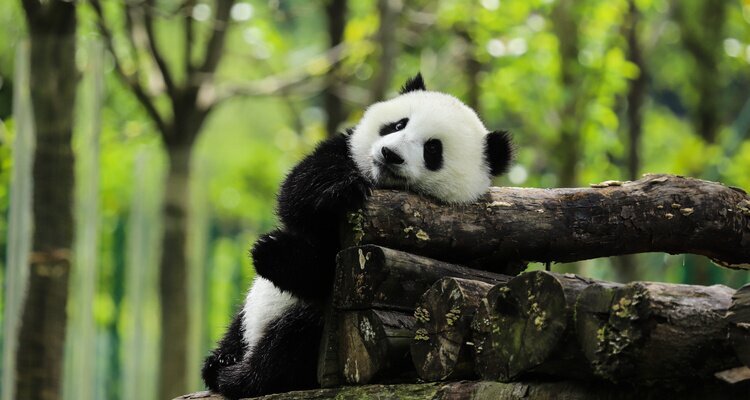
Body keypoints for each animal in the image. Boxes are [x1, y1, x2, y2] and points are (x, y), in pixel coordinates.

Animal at [202, 74, 513, 398]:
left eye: (432, 149)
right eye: (398, 125)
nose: (390, 154)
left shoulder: (466, 242)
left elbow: (326, 269)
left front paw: (279, 255)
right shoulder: (345, 152)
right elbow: (299, 192)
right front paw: (339, 190)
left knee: (293, 341)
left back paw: (241, 376)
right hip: (248, 315)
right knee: (239, 328)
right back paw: (218, 362)